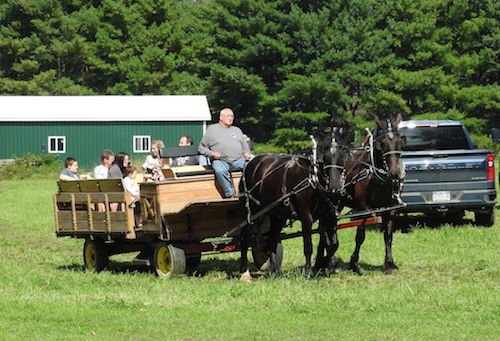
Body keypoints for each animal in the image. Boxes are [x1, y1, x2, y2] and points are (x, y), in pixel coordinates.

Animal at [239, 130, 352, 278]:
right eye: (324, 151)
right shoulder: (306, 217)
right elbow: (308, 246)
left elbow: (333, 245)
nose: (334, 185)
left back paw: (276, 271)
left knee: (271, 239)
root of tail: (251, 164)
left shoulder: (330, 216)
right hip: (251, 212)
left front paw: (323, 265)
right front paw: (310, 270)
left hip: (277, 215)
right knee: (244, 237)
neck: (313, 179)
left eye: (344, 151)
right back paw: (244, 271)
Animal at [340, 114, 406, 274]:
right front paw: (354, 263)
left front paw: (390, 263)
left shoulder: (390, 209)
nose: (394, 173)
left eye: (400, 140)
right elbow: (360, 236)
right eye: (381, 143)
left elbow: (388, 236)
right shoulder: (363, 209)